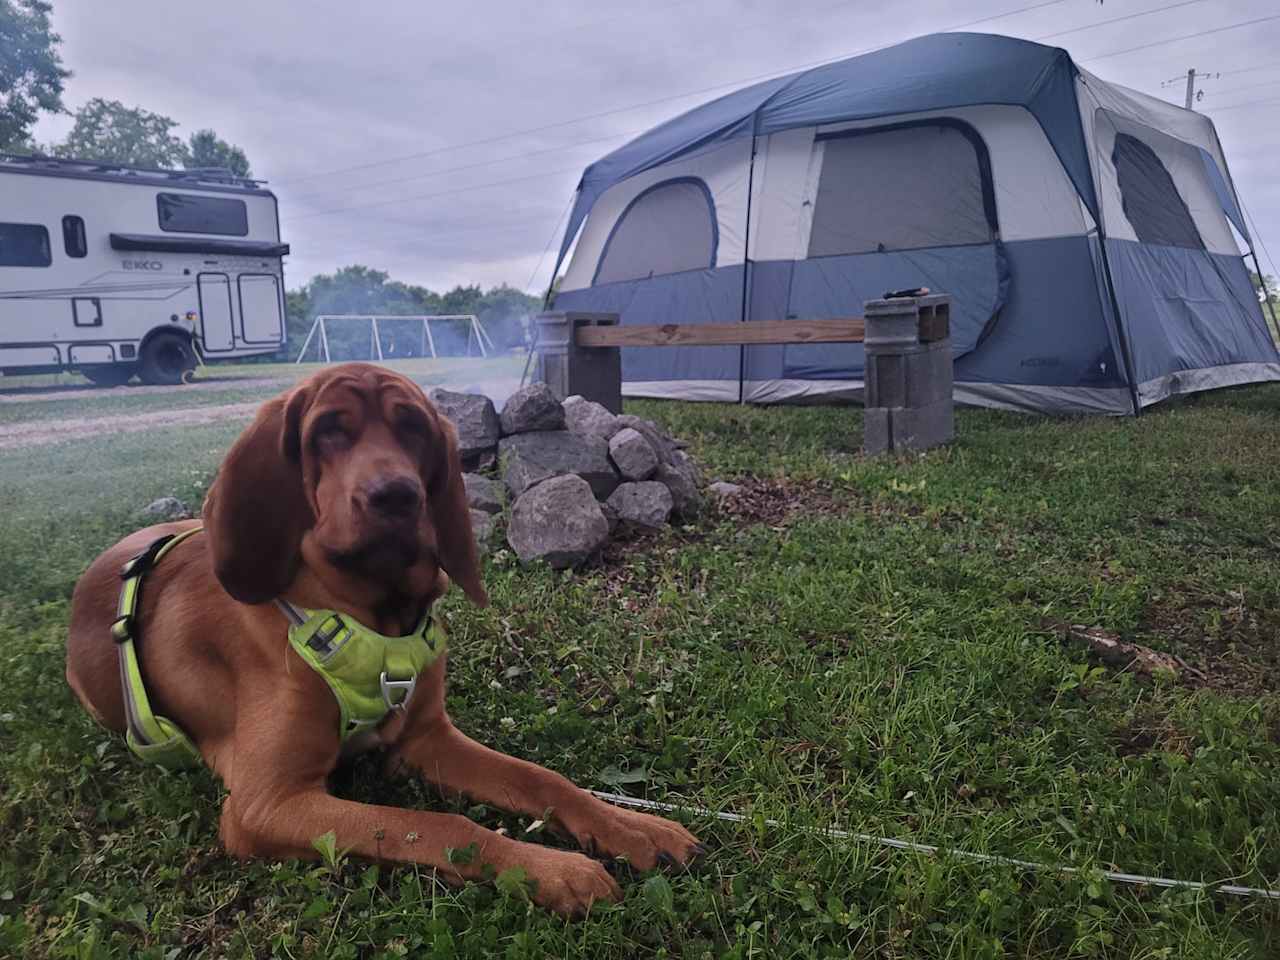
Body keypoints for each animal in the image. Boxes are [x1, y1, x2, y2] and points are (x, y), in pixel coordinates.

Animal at [66, 366, 706, 916]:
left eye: (414, 427)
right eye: (328, 429)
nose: (395, 495)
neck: (375, 618)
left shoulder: (428, 738)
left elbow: (544, 779)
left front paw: (631, 827)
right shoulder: (265, 803)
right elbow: (441, 825)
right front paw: (554, 869)